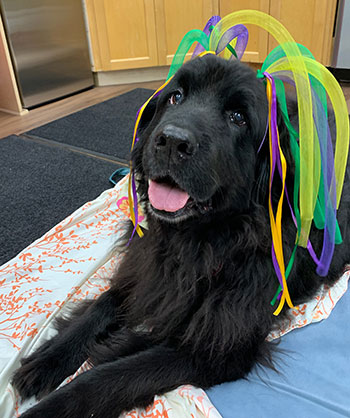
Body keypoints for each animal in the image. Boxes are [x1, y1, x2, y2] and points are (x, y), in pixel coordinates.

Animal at [12, 54, 348, 416]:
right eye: (176, 97)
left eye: (238, 117)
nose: (172, 141)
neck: (194, 242)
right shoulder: (146, 269)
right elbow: (102, 304)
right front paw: (47, 359)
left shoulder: (220, 346)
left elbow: (112, 377)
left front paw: (55, 404)